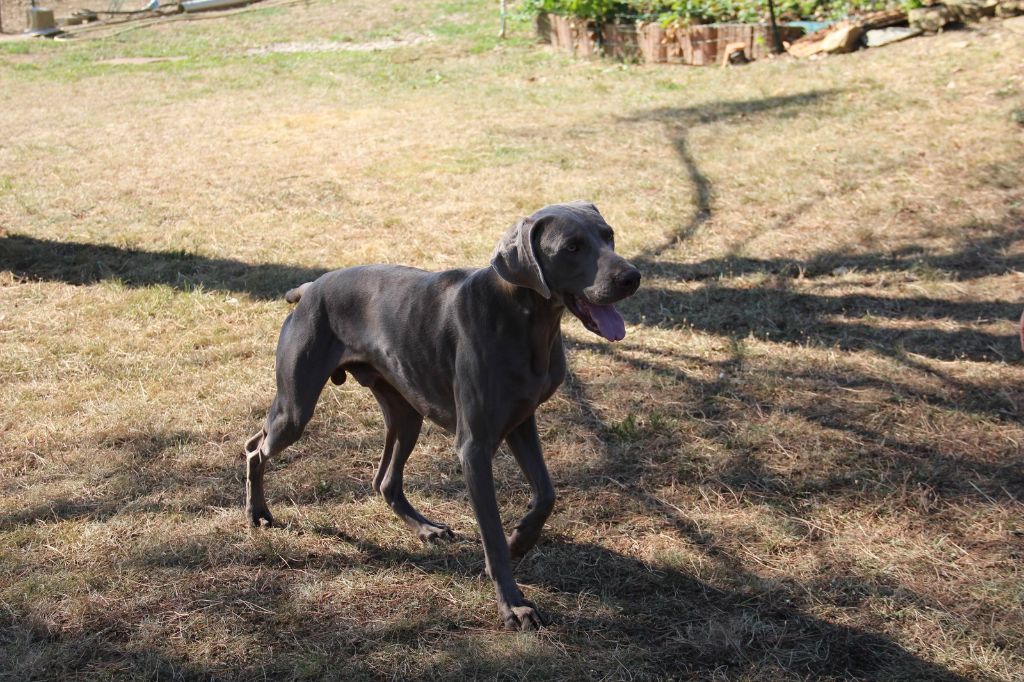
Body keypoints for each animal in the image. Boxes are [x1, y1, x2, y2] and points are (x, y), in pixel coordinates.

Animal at [241, 201, 638, 626]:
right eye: (572, 247)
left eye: (609, 235)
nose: (632, 277)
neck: (523, 316)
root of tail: (310, 287)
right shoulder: (474, 447)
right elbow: (492, 534)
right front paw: (513, 604)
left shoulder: (521, 421)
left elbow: (546, 493)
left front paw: (520, 540)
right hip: (295, 410)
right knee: (255, 447)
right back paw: (258, 512)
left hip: (406, 412)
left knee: (384, 481)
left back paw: (426, 529)